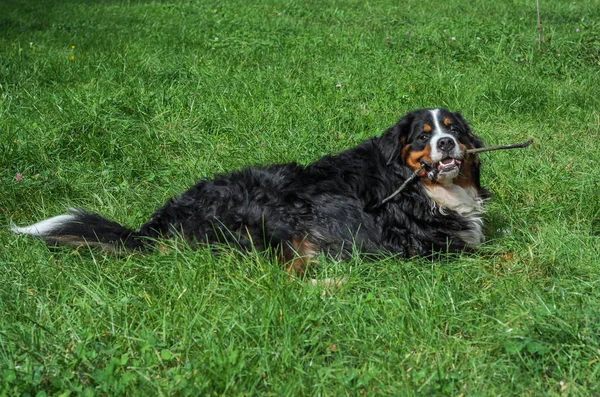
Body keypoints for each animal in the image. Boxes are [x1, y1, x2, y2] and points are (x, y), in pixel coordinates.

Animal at [10, 106, 488, 274]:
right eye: (423, 136)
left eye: (453, 130)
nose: (446, 144)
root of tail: (162, 220)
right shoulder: (421, 242)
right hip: (278, 216)